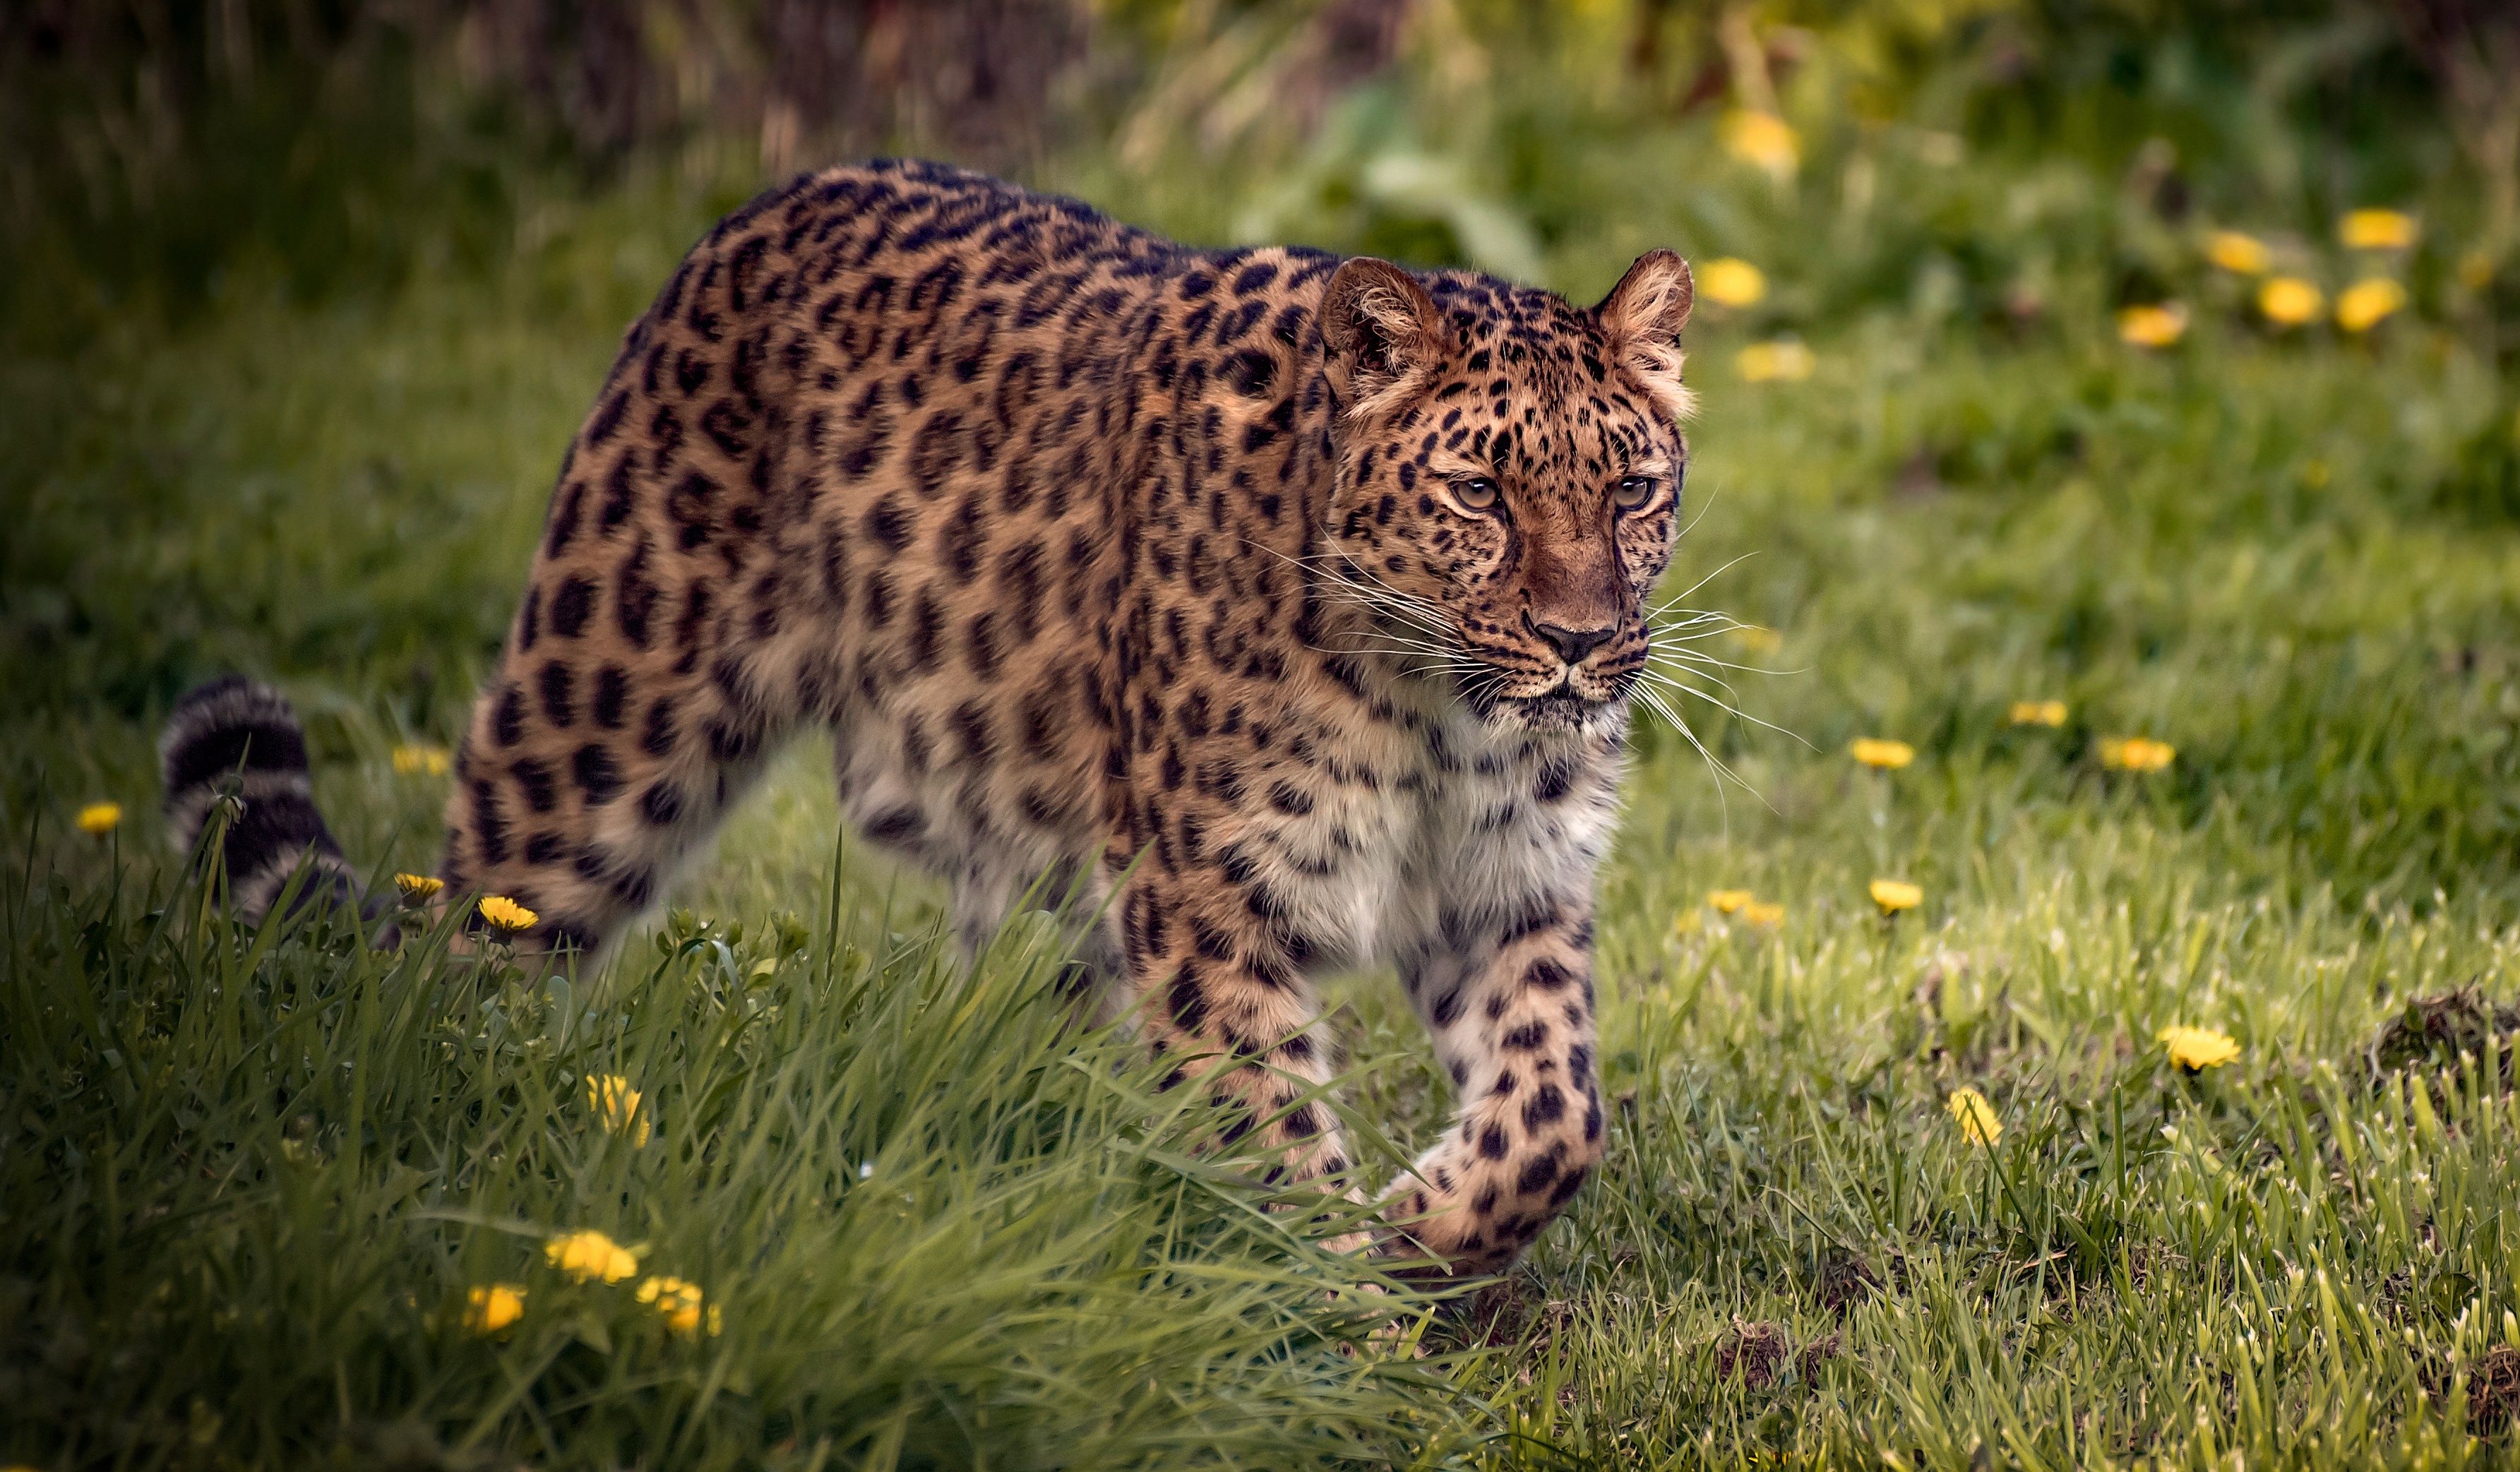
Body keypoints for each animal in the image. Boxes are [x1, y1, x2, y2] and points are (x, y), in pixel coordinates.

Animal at [157, 155, 1703, 1270]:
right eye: (1479, 495)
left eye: (1629, 490)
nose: (1580, 646)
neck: (1436, 712)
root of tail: (770, 201)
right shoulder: (1208, 897)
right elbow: (1270, 1131)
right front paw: (1337, 1315)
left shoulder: (1509, 885)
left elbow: (1556, 1114)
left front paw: (1417, 1225)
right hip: (598, 716)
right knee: (470, 944)